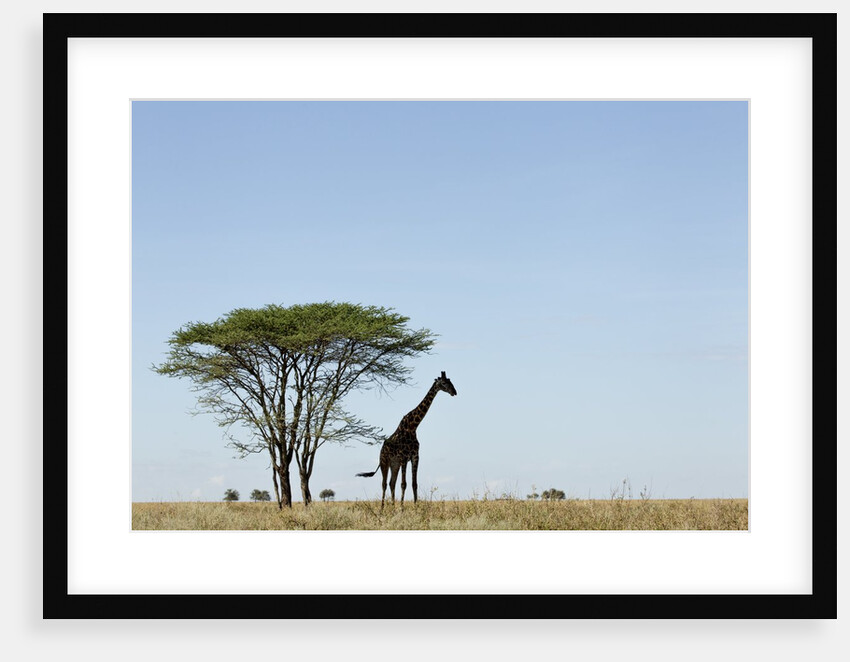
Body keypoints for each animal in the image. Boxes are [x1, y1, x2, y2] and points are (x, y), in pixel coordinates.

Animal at [356, 371, 457, 507]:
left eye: (450, 381)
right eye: (444, 383)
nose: (454, 392)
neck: (413, 426)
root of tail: (381, 450)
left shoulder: (415, 457)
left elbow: (414, 484)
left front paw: (415, 508)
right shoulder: (404, 457)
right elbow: (404, 484)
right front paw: (402, 509)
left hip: (394, 464)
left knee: (391, 483)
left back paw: (392, 508)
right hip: (384, 462)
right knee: (384, 484)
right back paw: (382, 509)